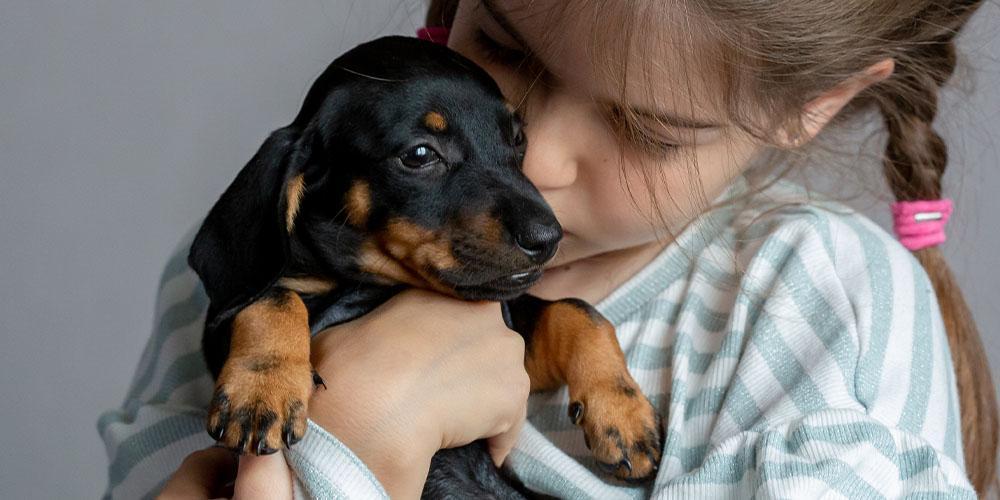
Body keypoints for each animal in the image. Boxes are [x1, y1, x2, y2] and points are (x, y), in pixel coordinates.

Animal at [190, 35, 660, 496]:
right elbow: (272, 295)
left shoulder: (518, 348)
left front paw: (624, 414)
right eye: (419, 155)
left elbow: (578, 309)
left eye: (517, 140)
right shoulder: (220, 322)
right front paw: (260, 390)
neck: (377, 281)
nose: (548, 238)